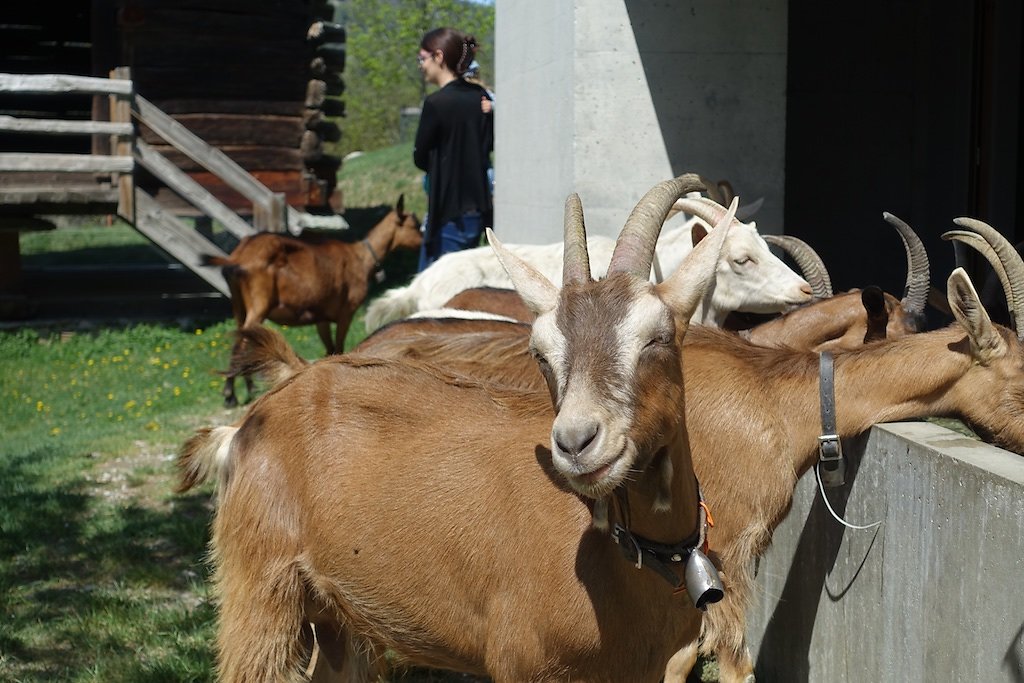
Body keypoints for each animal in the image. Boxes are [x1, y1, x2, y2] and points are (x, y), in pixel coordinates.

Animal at [199, 192, 419, 405]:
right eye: (415, 225)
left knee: (242, 337)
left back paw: (248, 388)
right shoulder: (346, 311)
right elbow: (338, 347)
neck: (361, 257)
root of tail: (237, 257)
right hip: (259, 303)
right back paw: (230, 395)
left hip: (238, 304)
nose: (423, 240)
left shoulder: (321, 317)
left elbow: (329, 348)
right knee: (240, 343)